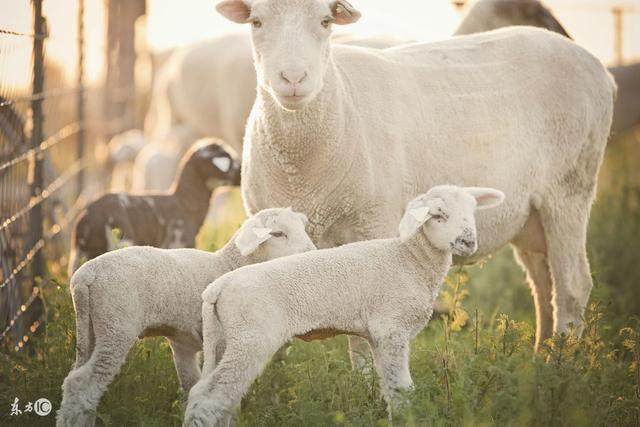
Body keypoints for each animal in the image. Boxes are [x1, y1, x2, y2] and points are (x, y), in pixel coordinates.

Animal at [56, 208, 316, 427]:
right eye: (278, 234)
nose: (311, 256)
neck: (229, 264)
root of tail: (84, 277)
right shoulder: (223, 342)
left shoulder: (184, 344)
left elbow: (192, 386)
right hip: (116, 324)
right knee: (82, 383)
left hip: (90, 329)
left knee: (76, 380)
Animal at [184, 186, 504, 426]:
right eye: (438, 215)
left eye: (472, 212)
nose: (468, 241)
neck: (409, 259)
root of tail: (217, 288)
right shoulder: (392, 329)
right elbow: (402, 392)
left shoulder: (379, 337)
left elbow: (389, 389)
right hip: (250, 338)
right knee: (212, 397)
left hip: (223, 340)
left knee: (205, 394)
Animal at [218, 0, 616, 358]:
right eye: (256, 21)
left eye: (326, 21)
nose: (293, 79)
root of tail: (598, 67)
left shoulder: (372, 225)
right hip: (529, 215)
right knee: (544, 287)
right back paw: (538, 365)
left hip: (569, 188)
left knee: (572, 284)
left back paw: (559, 370)